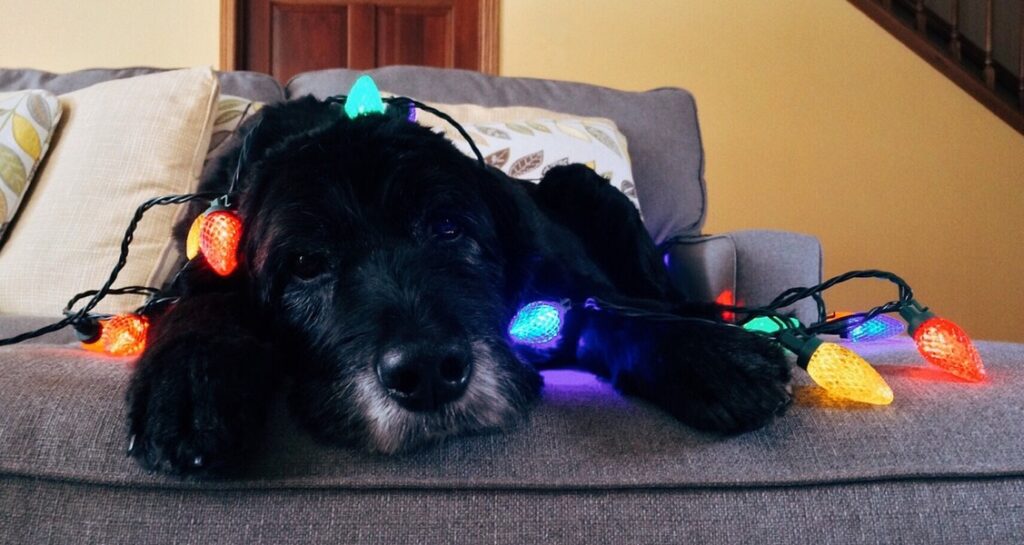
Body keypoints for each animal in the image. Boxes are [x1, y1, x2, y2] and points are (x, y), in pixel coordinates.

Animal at [123, 95, 786, 475]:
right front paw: (189, 384)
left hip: (578, 181)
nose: (426, 371)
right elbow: (200, 302)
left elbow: (607, 312)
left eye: (447, 227)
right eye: (306, 263)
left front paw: (709, 355)